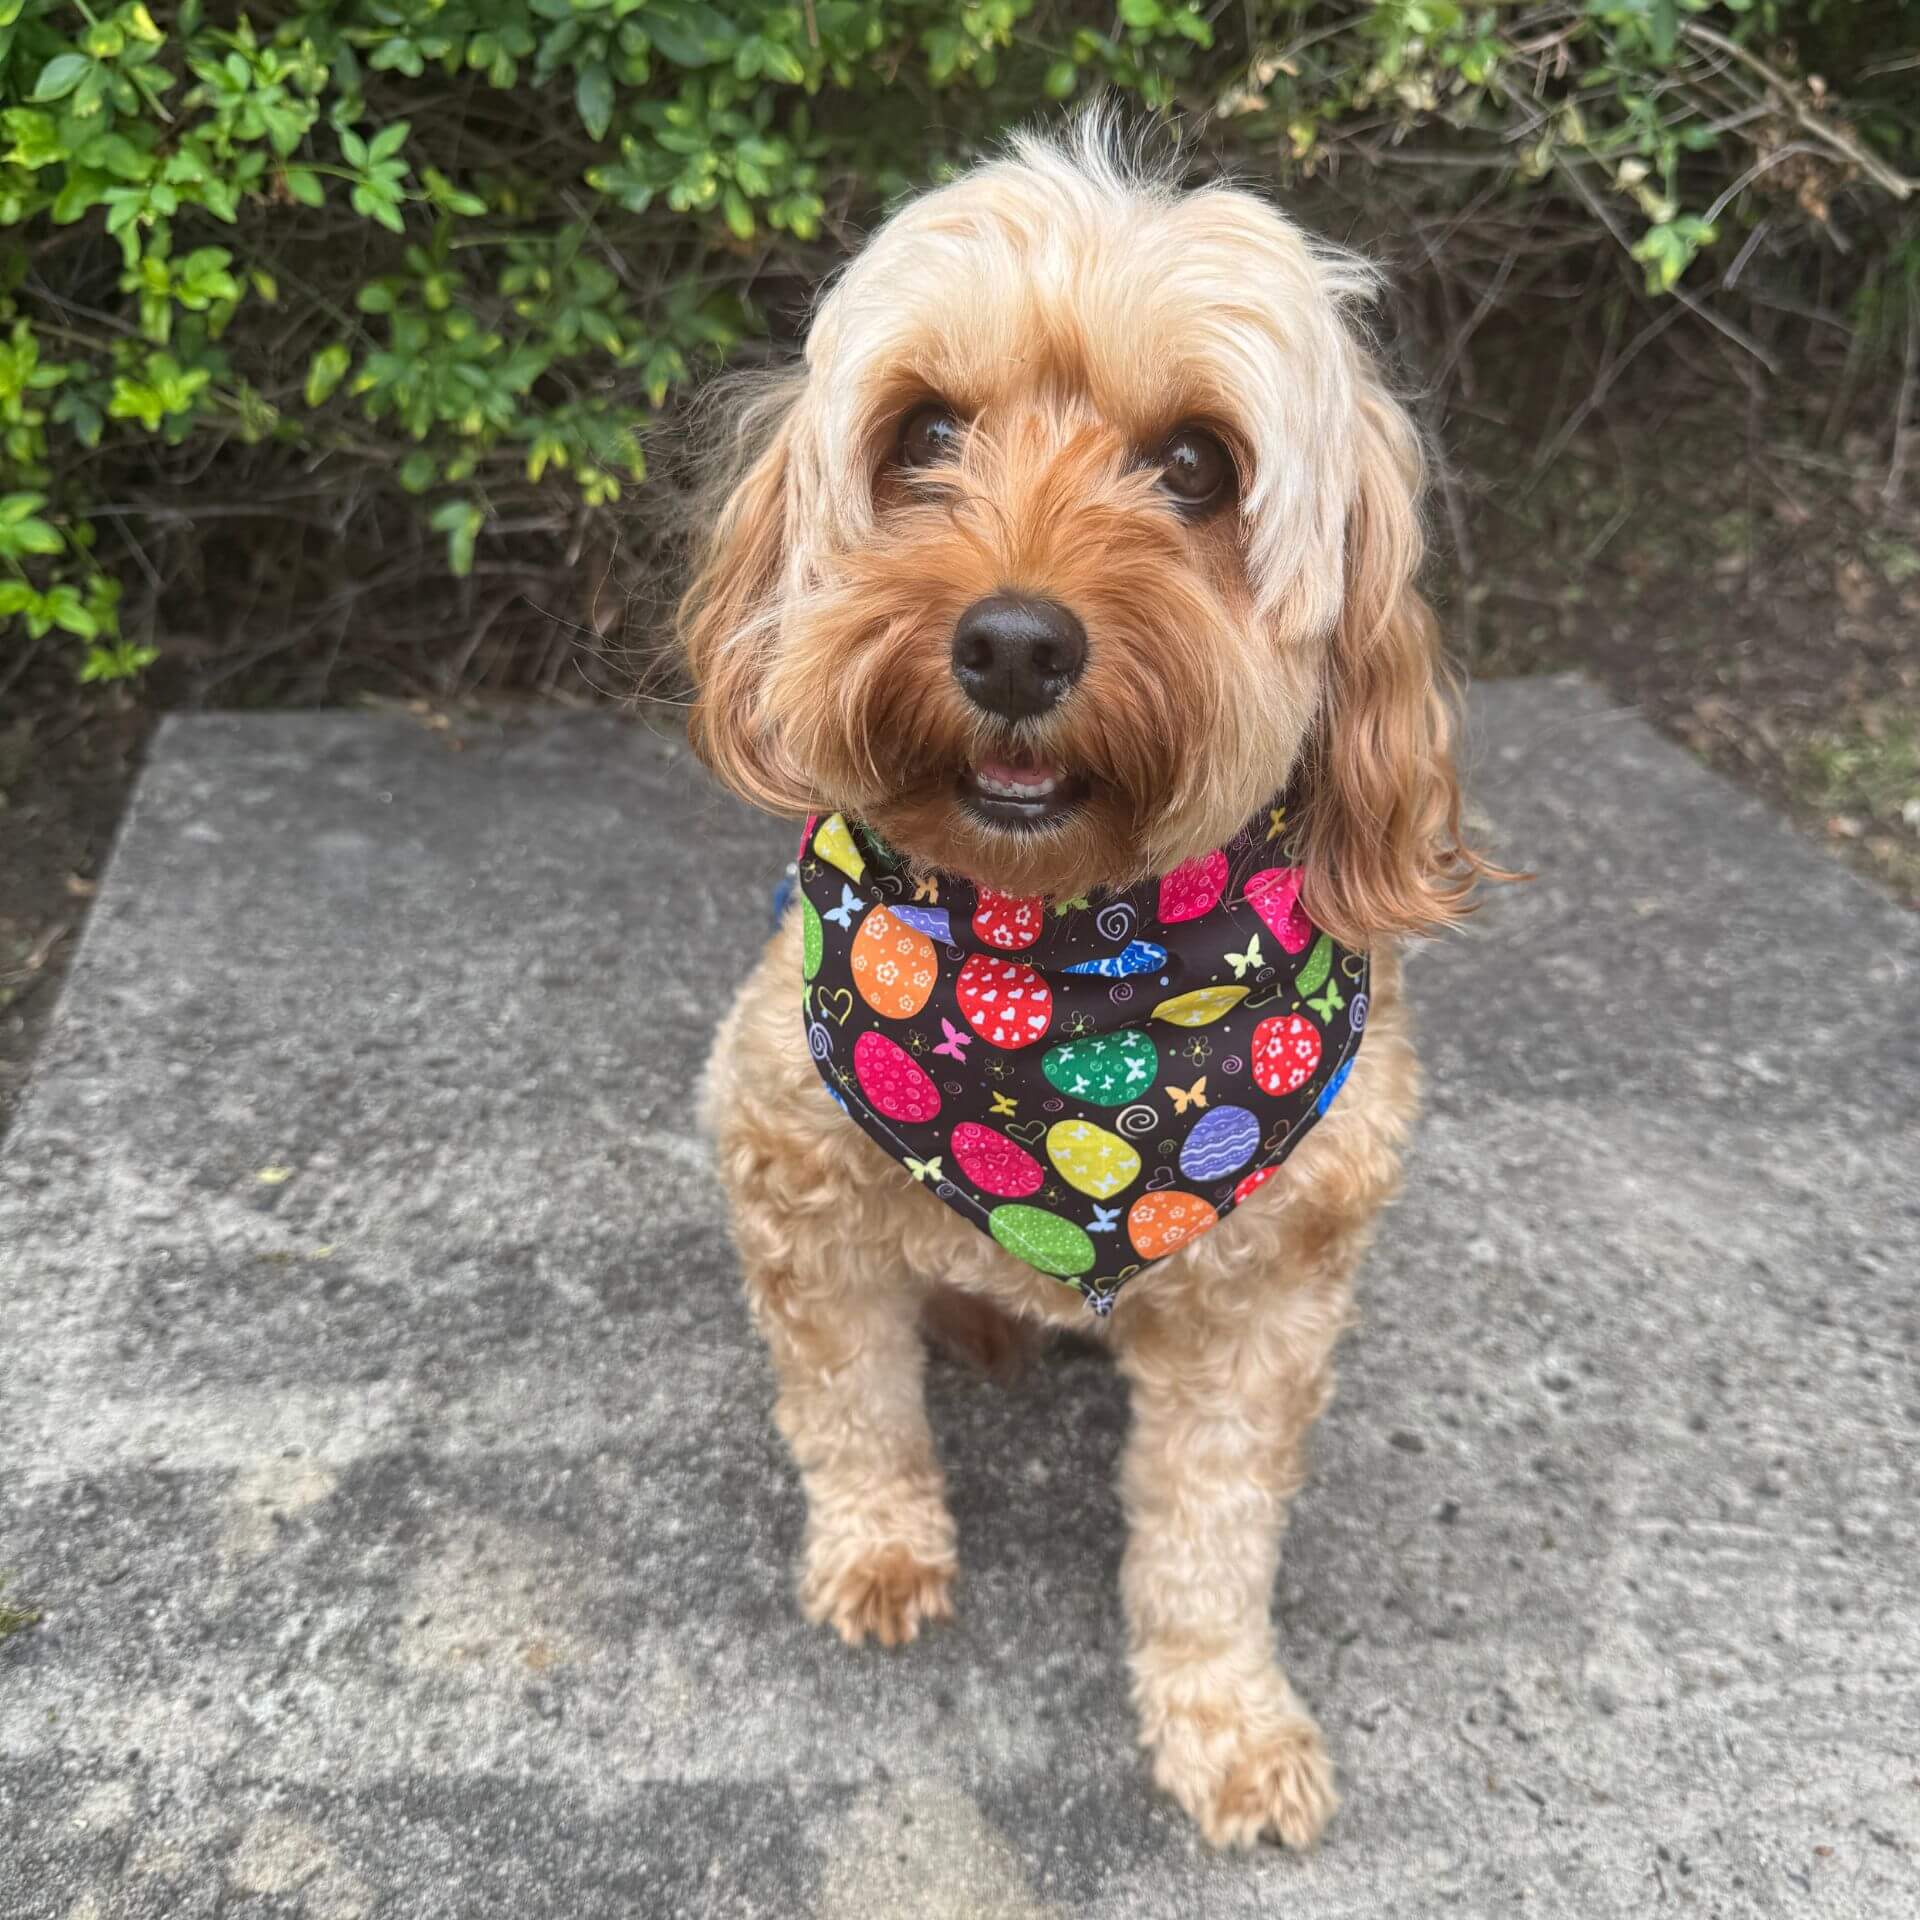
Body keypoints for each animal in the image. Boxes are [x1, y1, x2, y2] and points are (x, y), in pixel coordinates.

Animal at [679, 116, 1497, 1843]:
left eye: (1197, 464)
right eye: (923, 432)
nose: (1010, 644)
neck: (1065, 967)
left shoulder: (1271, 1307)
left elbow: (1210, 1540)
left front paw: (1227, 1721)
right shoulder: (790, 1183)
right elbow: (852, 1408)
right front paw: (879, 1551)